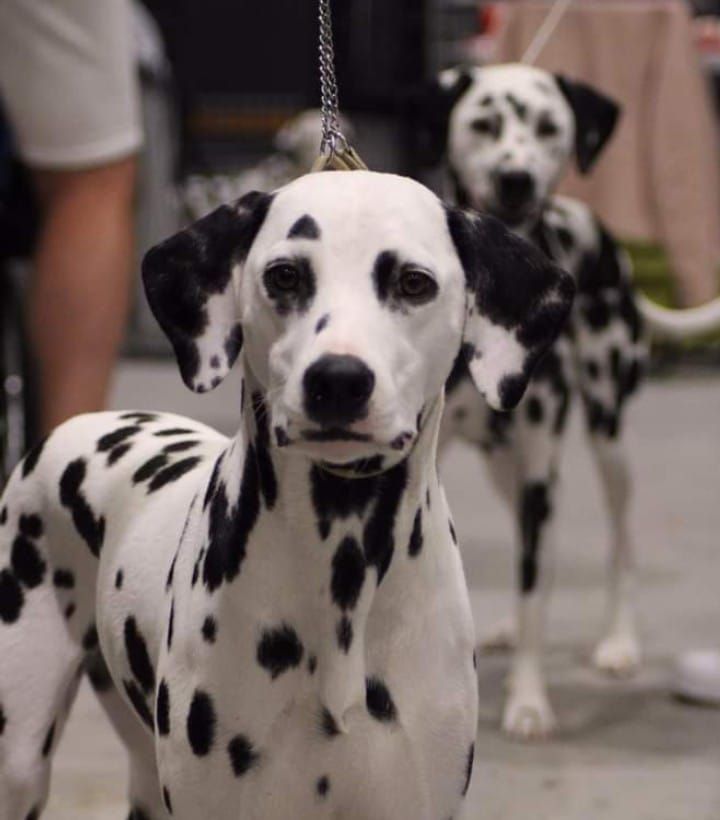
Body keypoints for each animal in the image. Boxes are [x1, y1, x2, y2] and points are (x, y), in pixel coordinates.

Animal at [0, 170, 572, 816]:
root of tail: (77, 425)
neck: (343, 566)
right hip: (20, 760)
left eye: (413, 282)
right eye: (285, 275)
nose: (338, 379)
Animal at [416, 67, 648, 740]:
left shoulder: (540, 477)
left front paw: (527, 701)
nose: (515, 178)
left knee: (621, 536)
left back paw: (619, 641)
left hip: (607, 437)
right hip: (505, 471)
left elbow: (532, 593)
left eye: (548, 127)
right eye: (483, 123)